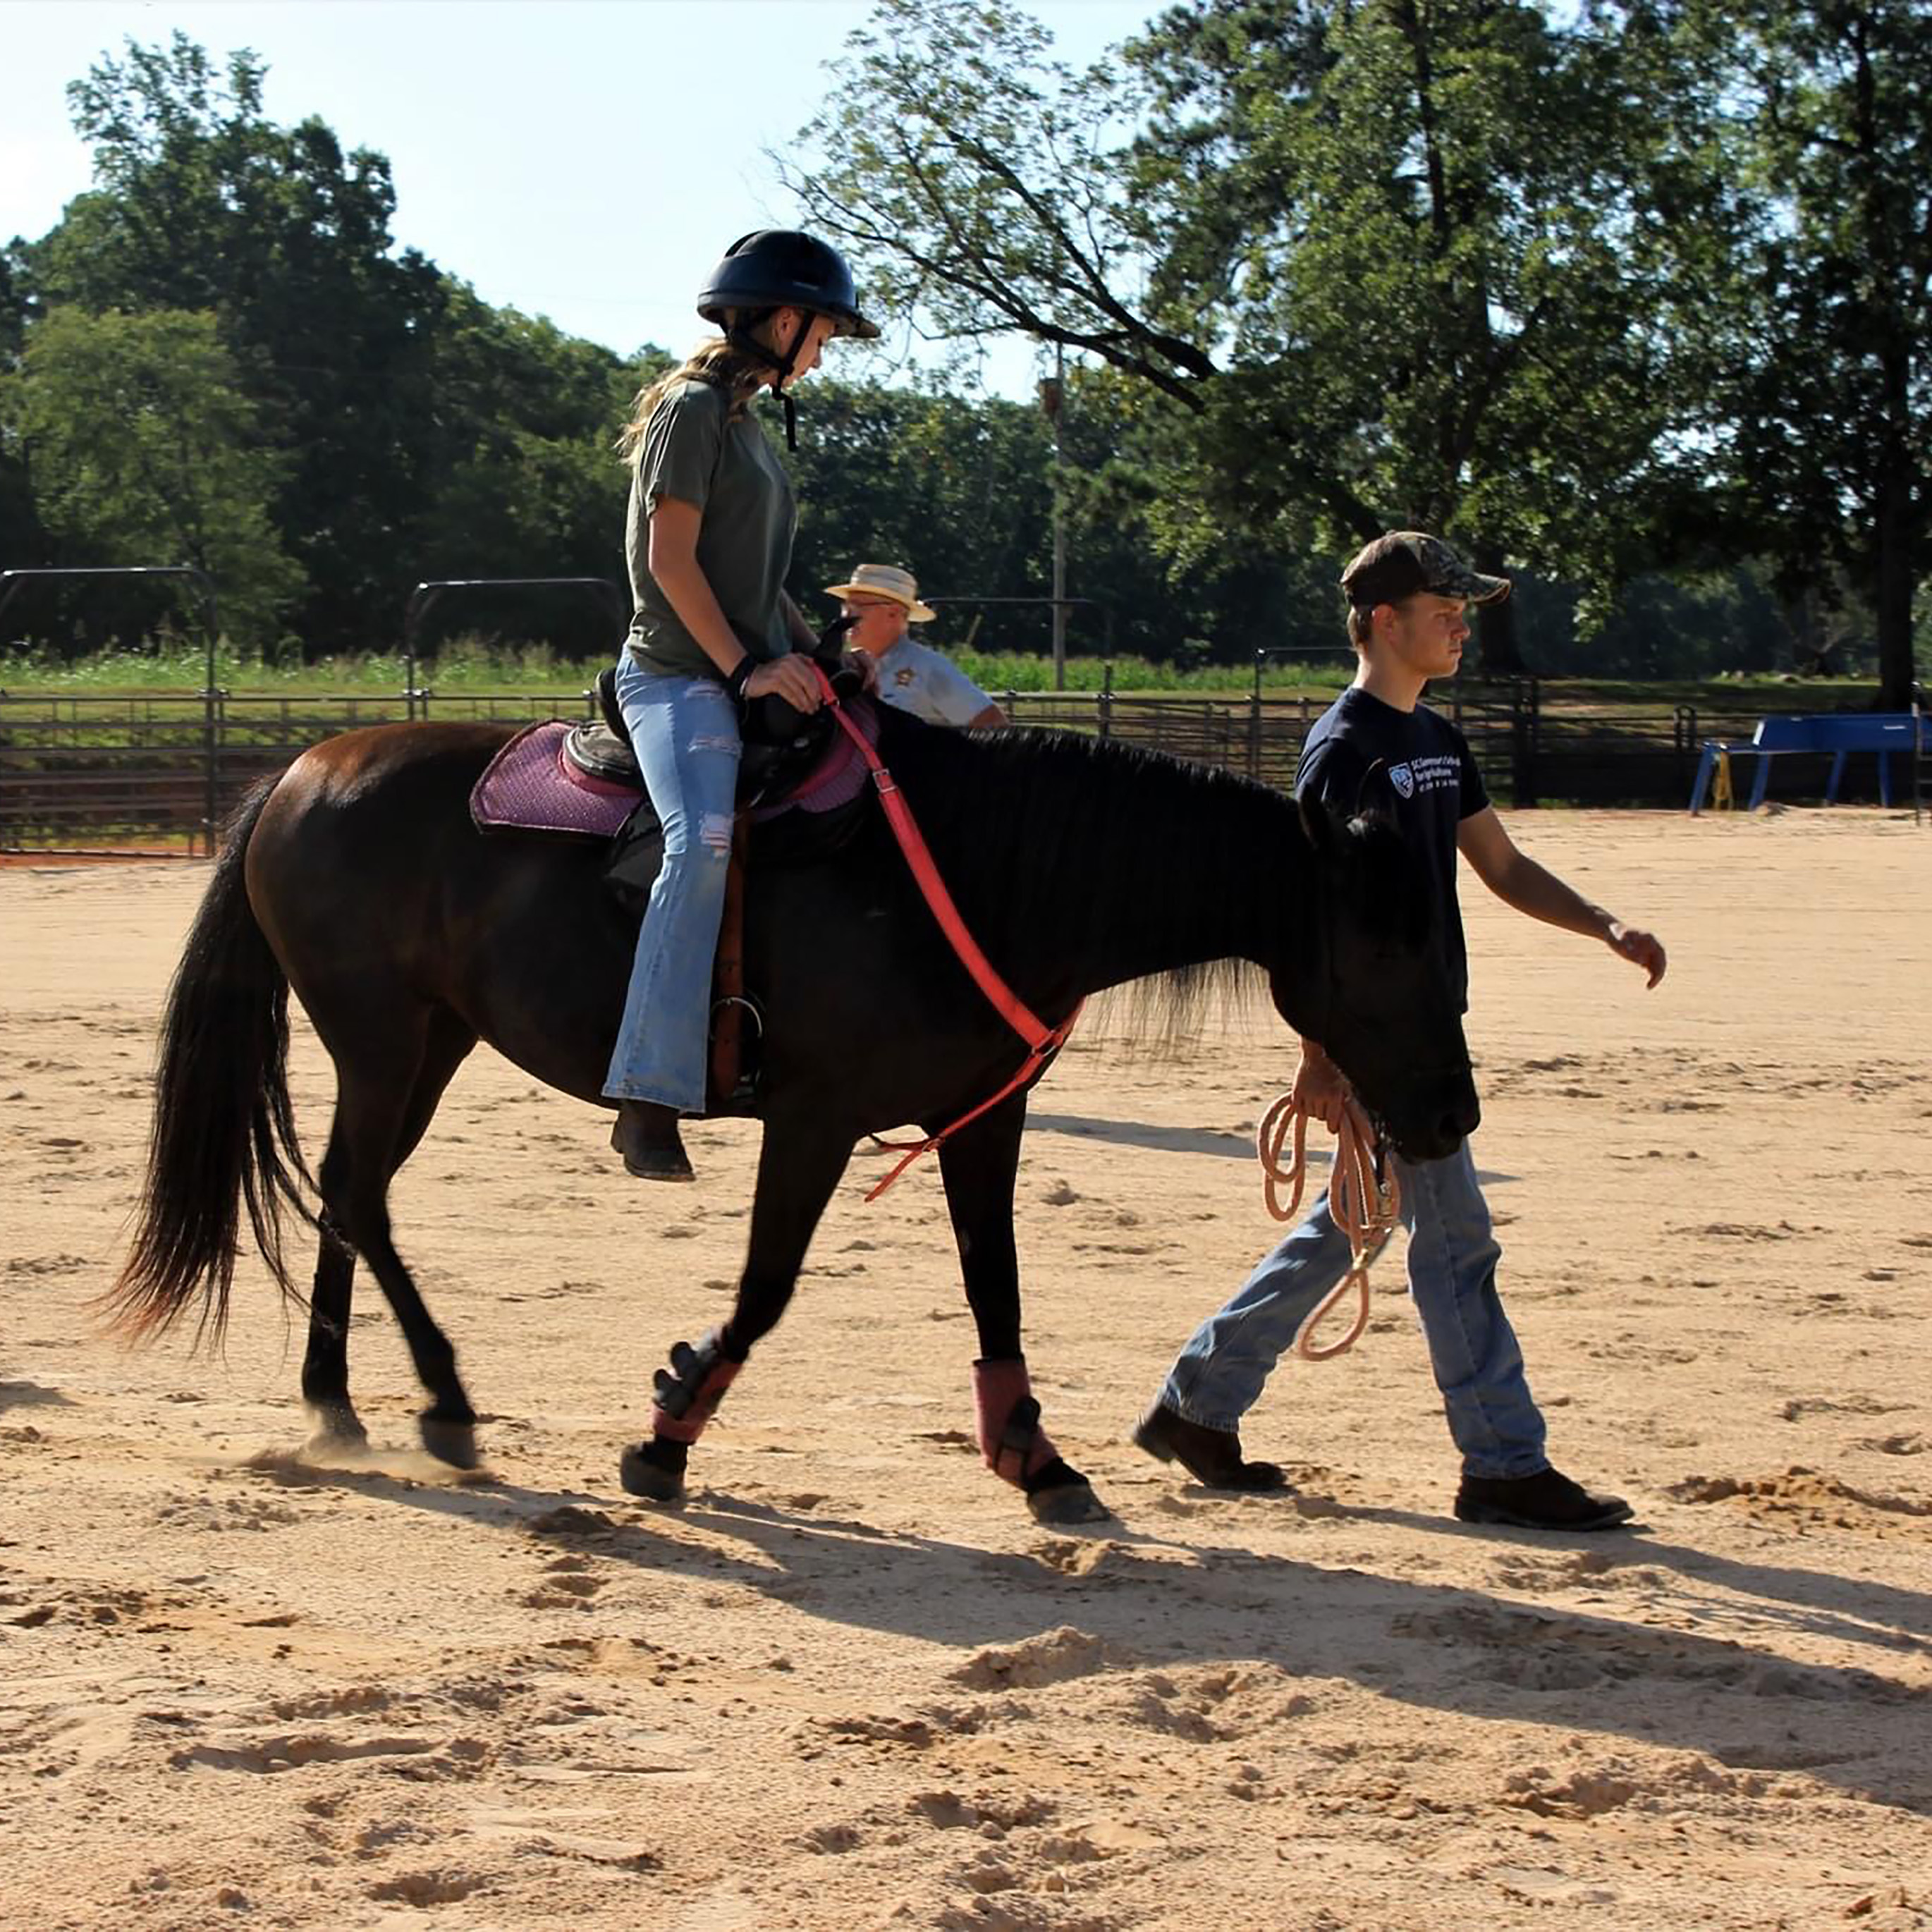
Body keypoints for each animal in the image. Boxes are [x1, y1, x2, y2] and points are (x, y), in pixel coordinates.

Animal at [109, 711, 1476, 1522]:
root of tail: (302, 771)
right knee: (354, 1197)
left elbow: (997, 1290)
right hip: (384, 1042)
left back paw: (342, 1399)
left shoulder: (981, 1121)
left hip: (427, 1045)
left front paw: (1036, 1457)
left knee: (352, 1198)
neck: (983, 873)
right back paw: (437, 1399)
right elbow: (765, 1291)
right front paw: (667, 1433)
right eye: (1390, 945)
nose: (1451, 1115)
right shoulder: (812, 1122)